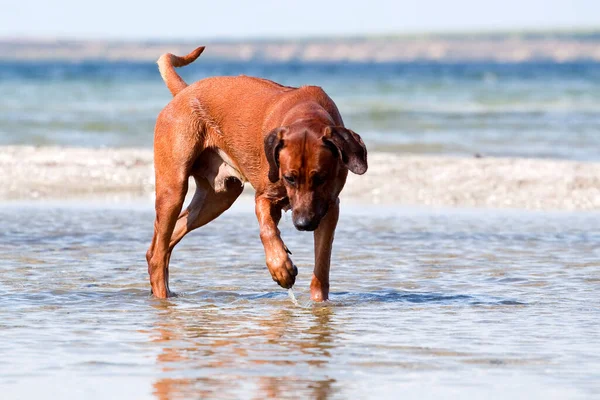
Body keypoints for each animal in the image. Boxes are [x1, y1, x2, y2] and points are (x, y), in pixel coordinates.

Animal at [148, 46, 368, 300]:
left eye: (321, 178)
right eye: (289, 178)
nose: (303, 224)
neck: (306, 112)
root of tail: (185, 92)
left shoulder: (329, 207)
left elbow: (321, 267)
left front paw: (318, 301)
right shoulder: (265, 196)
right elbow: (267, 230)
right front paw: (281, 268)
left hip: (219, 197)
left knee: (165, 242)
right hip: (173, 187)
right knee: (158, 251)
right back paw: (162, 295)